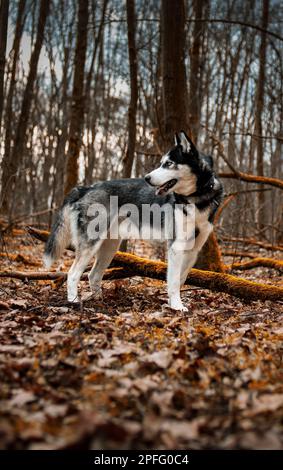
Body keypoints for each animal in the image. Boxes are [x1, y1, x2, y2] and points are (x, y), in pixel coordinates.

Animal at [43, 130, 224, 310]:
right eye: (161, 163)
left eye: (168, 164)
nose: (147, 178)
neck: (196, 199)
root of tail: (85, 188)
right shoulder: (176, 247)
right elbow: (173, 281)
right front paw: (177, 306)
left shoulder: (193, 250)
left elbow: (180, 280)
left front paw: (172, 303)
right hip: (91, 244)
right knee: (72, 273)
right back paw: (73, 301)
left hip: (110, 246)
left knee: (93, 275)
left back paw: (98, 299)